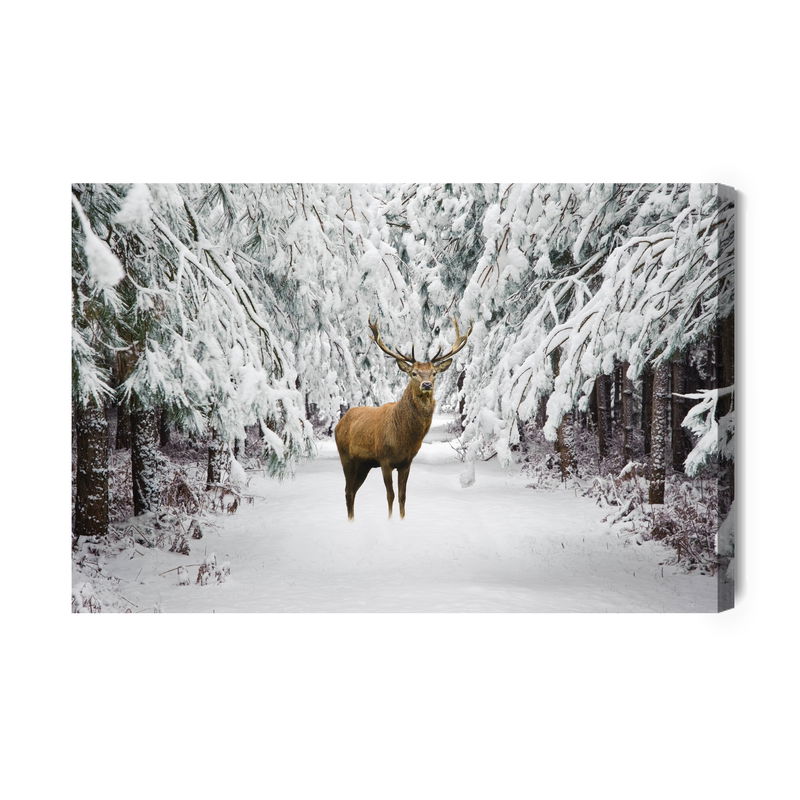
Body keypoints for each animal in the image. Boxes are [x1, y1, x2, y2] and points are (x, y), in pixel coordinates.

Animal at [334, 317, 473, 520]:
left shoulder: (406, 462)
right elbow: (390, 495)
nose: (426, 384)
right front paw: (390, 520)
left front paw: (402, 518)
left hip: (364, 464)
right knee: (347, 491)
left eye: (434, 373)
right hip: (346, 456)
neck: (403, 438)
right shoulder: (384, 459)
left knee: (352, 490)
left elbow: (402, 496)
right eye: (413, 373)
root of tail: (339, 423)